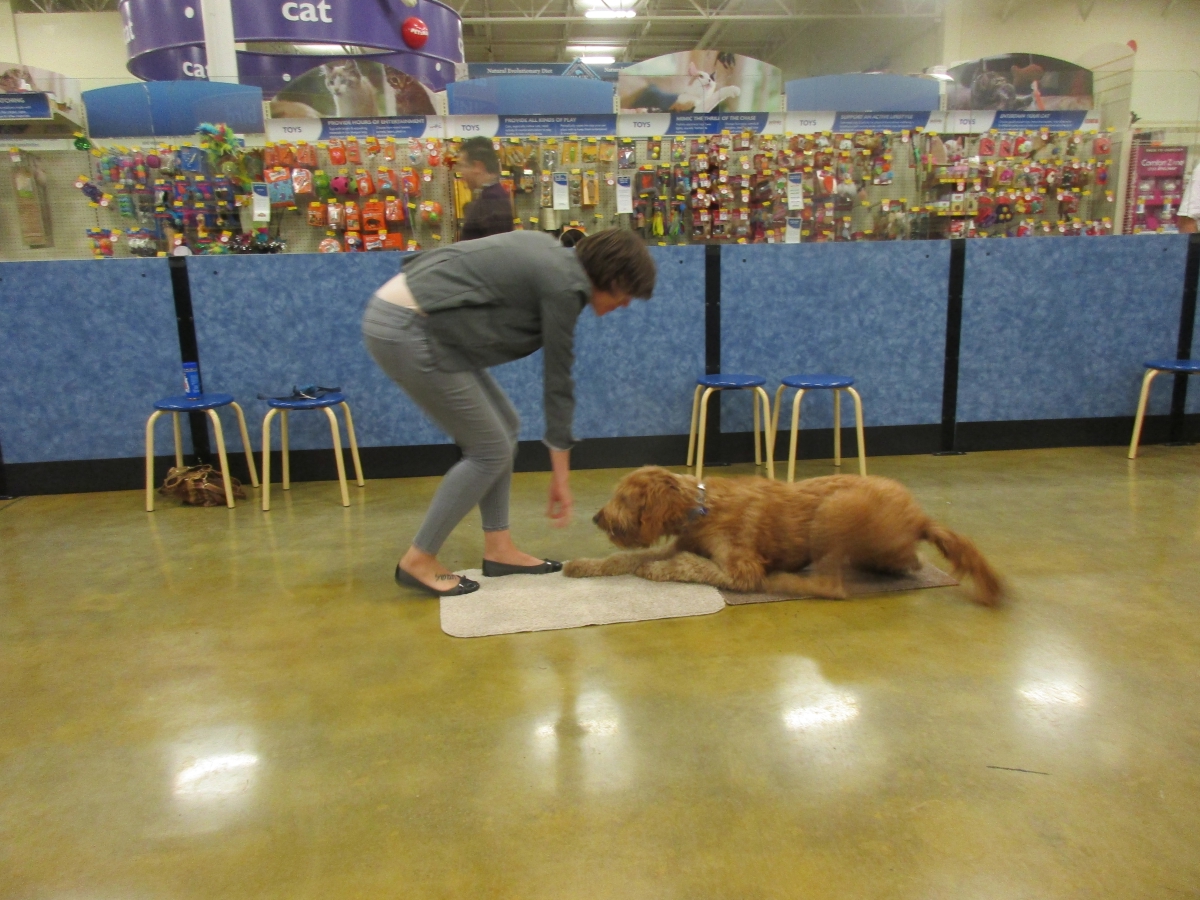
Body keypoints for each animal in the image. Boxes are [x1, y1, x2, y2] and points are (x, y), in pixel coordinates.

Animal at [563, 467, 1003, 606]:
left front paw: (661, 570)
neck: (700, 508)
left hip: (834, 511)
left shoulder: (741, 567)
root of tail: (920, 517)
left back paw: (784, 580)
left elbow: (696, 566)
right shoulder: (679, 539)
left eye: (623, 498)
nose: (597, 516)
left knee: (830, 587)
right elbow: (623, 559)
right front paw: (582, 564)